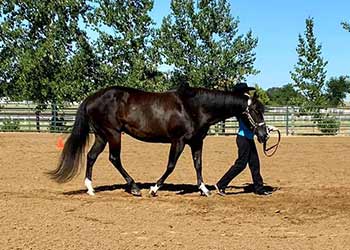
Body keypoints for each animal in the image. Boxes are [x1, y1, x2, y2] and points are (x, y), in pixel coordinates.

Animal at [48, 84, 268, 197]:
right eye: (256, 111)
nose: (264, 135)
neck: (194, 107)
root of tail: (92, 98)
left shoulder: (197, 142)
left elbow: (198, 165)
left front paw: (204, 189)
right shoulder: (178, 141)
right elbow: (171, 165)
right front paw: (154, 188)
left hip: (102, 135)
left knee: (92, 156)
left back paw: (91, 189)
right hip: (113, 134)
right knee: (114, 158)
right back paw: (135, 188)